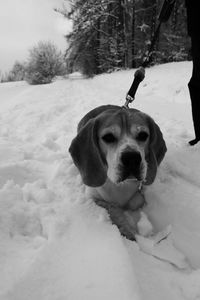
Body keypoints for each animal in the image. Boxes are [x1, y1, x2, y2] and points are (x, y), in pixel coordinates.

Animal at [69, 105, 166, 239]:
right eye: (108, 137)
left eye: (143, 135)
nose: (132, 158)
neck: (120, 186)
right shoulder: (92, 197)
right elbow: (112, 207)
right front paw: (125, 229)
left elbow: (136, 201)